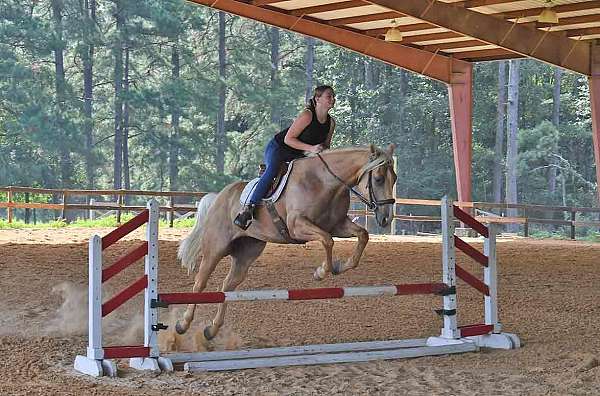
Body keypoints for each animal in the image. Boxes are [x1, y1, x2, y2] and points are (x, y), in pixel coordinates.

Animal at [176, 145, 396, 340]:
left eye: (394, 179)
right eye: (378, 179)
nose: (386, 218)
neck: (325, 183)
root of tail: (219, 196)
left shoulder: (338, 225)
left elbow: (362, 235)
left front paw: (340, 266)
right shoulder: (297, 225)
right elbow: (327, 240)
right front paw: (321, 272)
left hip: (247, 252)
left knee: (227, 286)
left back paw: (212, 330)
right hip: (216, 248)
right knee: (200, 283)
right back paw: (183, 324)